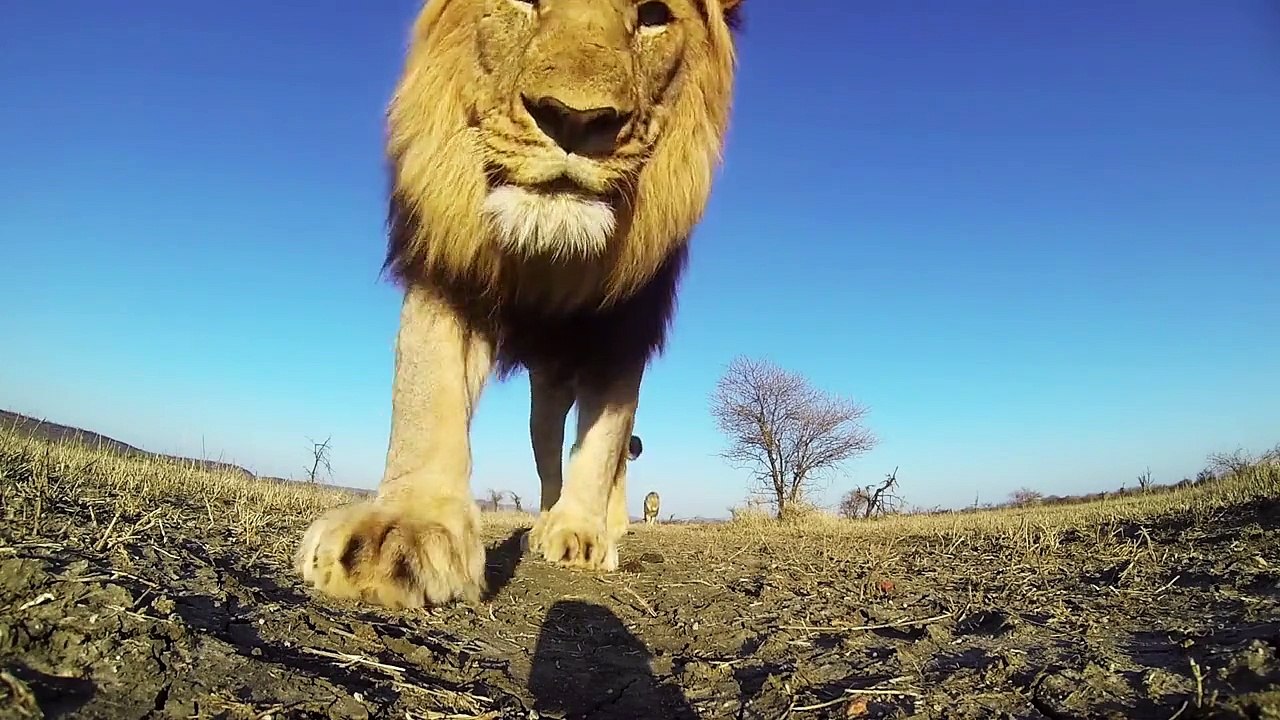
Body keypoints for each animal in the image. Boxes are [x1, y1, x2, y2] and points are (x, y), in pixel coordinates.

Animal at [294, 0, 746, 610]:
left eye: (653, 15)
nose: (576, 120)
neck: (551, 263)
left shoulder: (624, 331)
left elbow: (602, 444)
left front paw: (583, 534)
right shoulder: (451, 266)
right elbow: (424, 383)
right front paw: (405, 527)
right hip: (546, 392)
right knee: (549, 448)